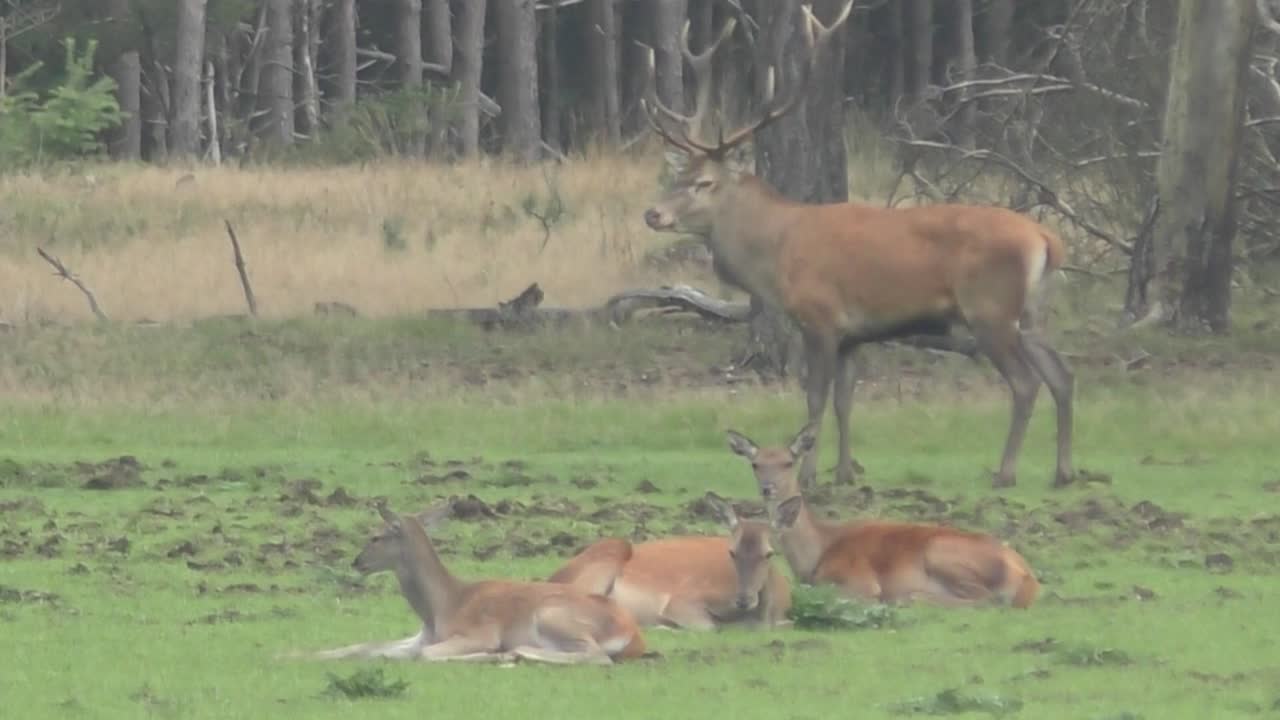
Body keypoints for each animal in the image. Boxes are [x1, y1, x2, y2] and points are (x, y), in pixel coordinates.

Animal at [291, 501, 647, 666]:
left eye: (376, 536)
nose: (357, 562)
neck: (441, 607)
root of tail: (632, 633)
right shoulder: (420, 637)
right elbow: (365, 646)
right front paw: (293, 655)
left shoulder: (481, 631)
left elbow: (424, 655)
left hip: (553, 614)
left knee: (596, 655)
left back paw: (512, 654)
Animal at [638, 2, 1075, 490]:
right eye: (680, 174)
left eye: (704, 183)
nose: (653, 214)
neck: (776, 255)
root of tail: (1046, 239)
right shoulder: (854, 334)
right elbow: (845, 400)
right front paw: (846, 472)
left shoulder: (820, 318)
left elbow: (815, 399)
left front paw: (807, 474)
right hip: (1031, 313)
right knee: (1063, 375)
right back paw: (1063, 471)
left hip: (990, 310)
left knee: (1026, 383)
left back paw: (1005, 473)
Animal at [727, 424, 1041, 609]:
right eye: (755, 464)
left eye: (788, 462)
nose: (768, 488)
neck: (815, 556)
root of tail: (1028, 578)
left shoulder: (860, 581)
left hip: (942, 551)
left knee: (986, 599)